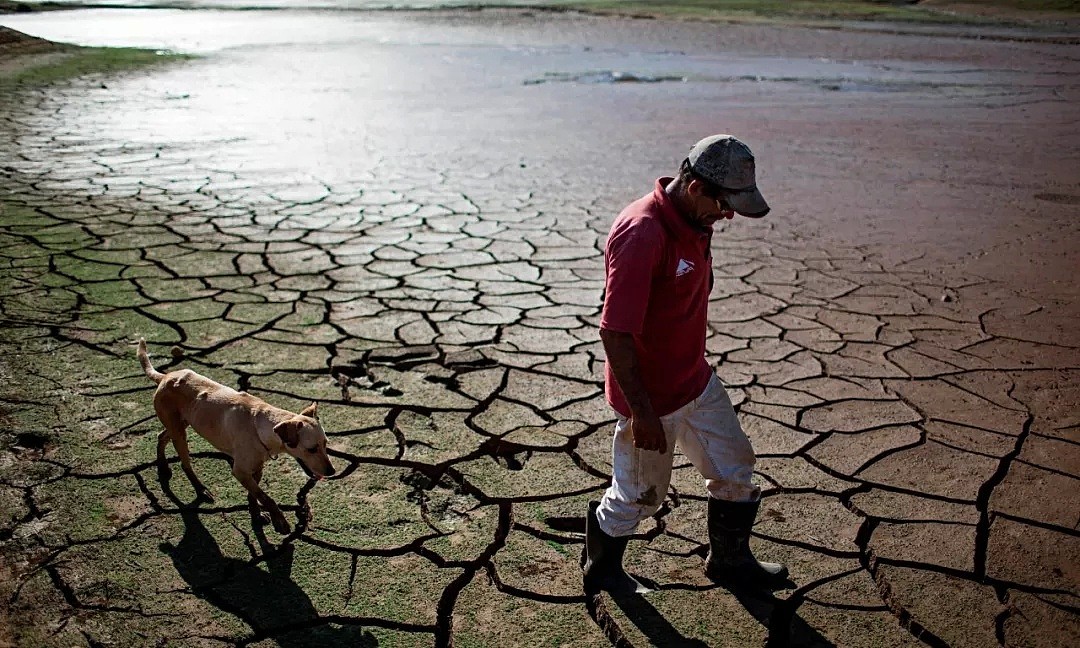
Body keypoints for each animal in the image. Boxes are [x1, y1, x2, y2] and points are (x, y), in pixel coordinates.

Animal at [137, 339, 334, 531]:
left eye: (326, 444)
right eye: (311, 449)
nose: (332, 471)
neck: (259, 423)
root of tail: (165, 376)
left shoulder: (256, 467)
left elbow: (254, 495)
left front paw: (256, 516)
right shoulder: (239, 471)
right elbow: (266, 497)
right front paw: (280, 520)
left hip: (181, 423)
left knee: (161, 436)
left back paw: (163, 467)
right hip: (179, 432)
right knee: (185, 463)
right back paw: (200, 489)